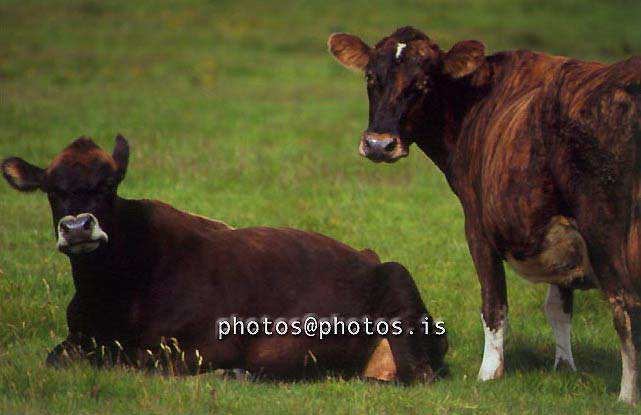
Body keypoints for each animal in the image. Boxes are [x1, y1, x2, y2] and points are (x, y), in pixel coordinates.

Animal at [2, 136, 448, 384]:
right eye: (52, 190)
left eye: (108, 184)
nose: (78, 227)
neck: (112, 296)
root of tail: (369, 256)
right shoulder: (78, 338)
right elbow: (54, 360)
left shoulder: (197, 346)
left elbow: (142, 366)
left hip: (400, 287)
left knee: (414, 377)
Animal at [330, 26, 640, 404]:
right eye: (371, 77)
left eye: (422, 84)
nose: (379, 144)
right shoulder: (561, 233)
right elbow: (558, 306)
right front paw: (564, 367)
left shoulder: (476, 225)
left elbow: (494, 304)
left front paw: (489, 374)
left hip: (604, 229)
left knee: (626, 306)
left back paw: (626, 396)